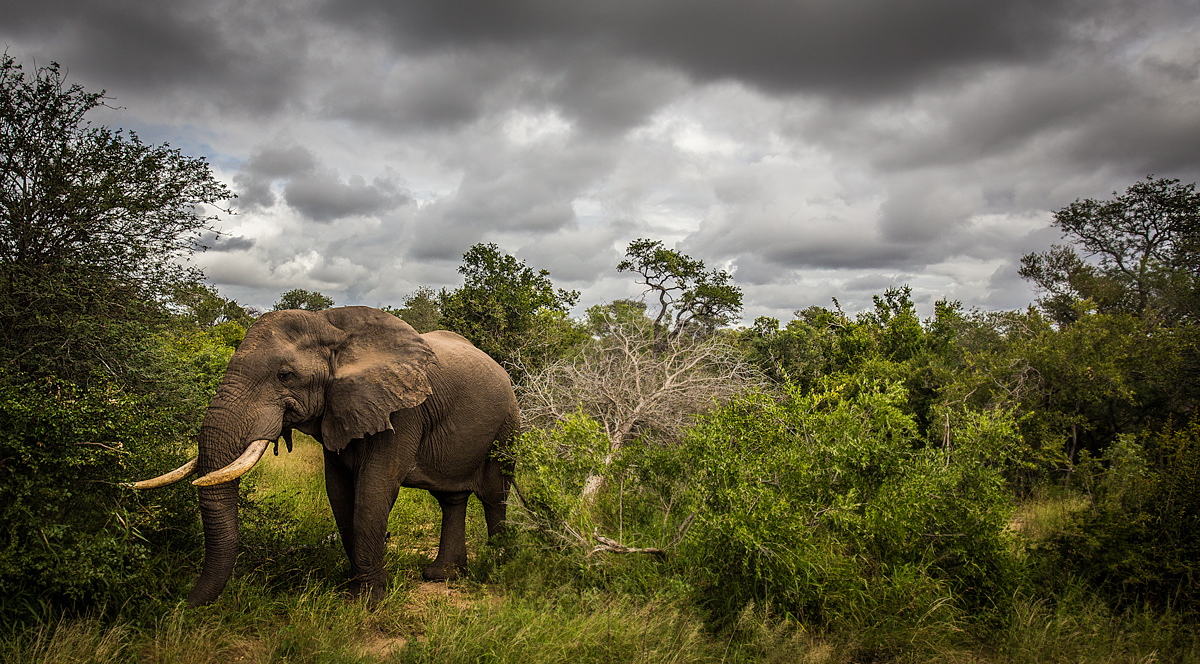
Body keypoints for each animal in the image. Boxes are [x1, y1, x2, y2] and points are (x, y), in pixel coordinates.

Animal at [133, 304, 518, 605]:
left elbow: (372, 492)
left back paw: (499, 566)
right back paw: (442, 575)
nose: (180, 603)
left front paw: (368, 603)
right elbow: (339, 493)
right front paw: (360, 592)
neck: (334, 328)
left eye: (285, 375)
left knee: (495, 493)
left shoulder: (402, 412)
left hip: (507, 427)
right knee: (451, 499)